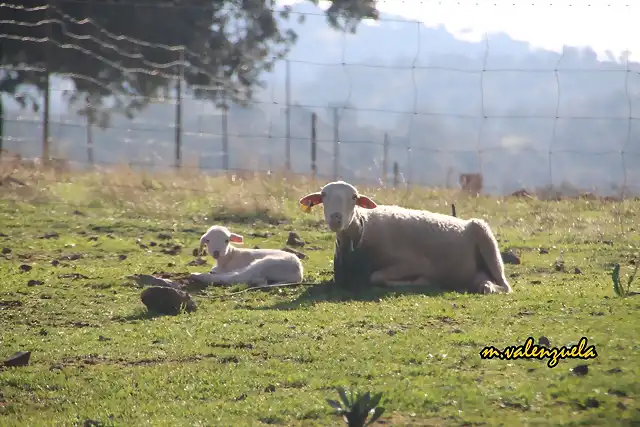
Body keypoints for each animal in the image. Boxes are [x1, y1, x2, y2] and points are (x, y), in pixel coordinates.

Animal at [300, 181, 516, 294]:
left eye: (354, 197)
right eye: (323, 195)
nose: (336, 218)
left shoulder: (416, 263)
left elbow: (376, 276)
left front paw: (421, 282)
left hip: (485, 236)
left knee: (505, 286)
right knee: (482, 281)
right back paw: (483, 285)